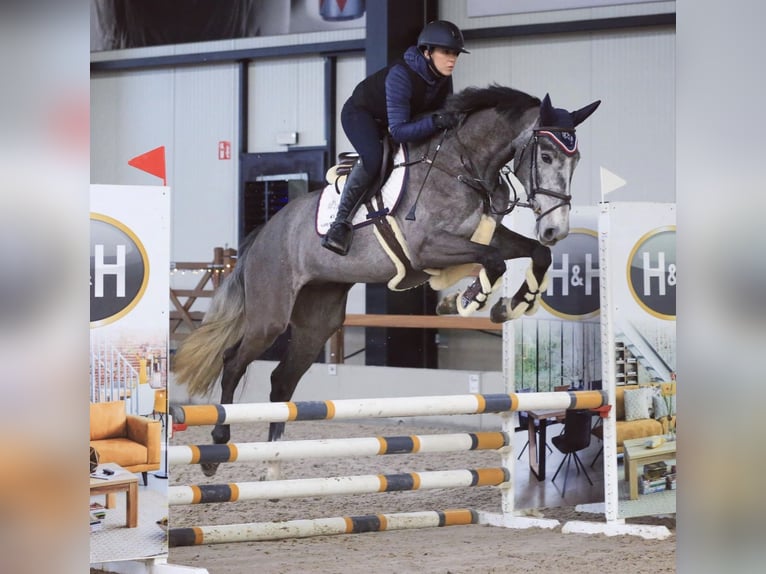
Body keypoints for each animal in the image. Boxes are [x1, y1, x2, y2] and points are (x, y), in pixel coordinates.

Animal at [172, 85, 600, 480]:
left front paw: (510, 304)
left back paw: (274, 465)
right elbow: (492, 262)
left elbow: (535, 254)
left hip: (318, 320)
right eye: (546, 156)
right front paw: (468, 301)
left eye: (576, 159)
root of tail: (261, 235)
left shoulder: (486, 236)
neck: (462, 164)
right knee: (233, 363)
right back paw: (216, 449)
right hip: (270, 317)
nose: (555, 229)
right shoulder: (428, 248)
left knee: (282, 381)